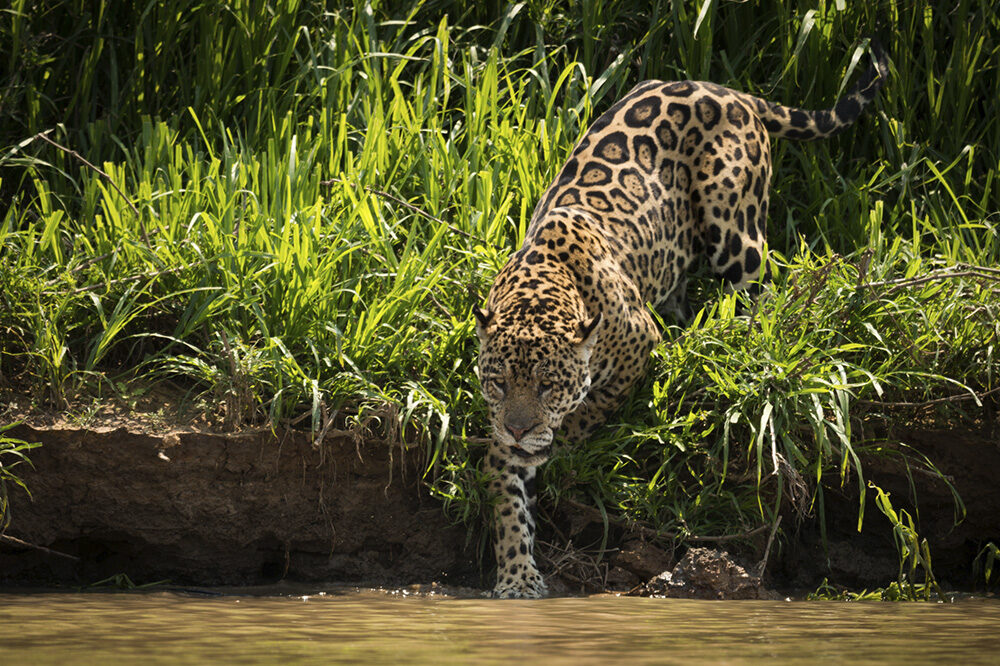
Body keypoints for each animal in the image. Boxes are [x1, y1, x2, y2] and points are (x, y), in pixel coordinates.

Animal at [474, 41, 889, 599]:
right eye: (497, 382)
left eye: (547, 386)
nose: (520, 430)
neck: (545, 283)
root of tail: (729, 91)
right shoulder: (500, 440)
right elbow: (507, 507)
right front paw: (517, 581)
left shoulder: (635, 346)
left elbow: (590, 408)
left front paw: (562, 441)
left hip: (734, 228)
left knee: (764, 290)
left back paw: (742, 337)